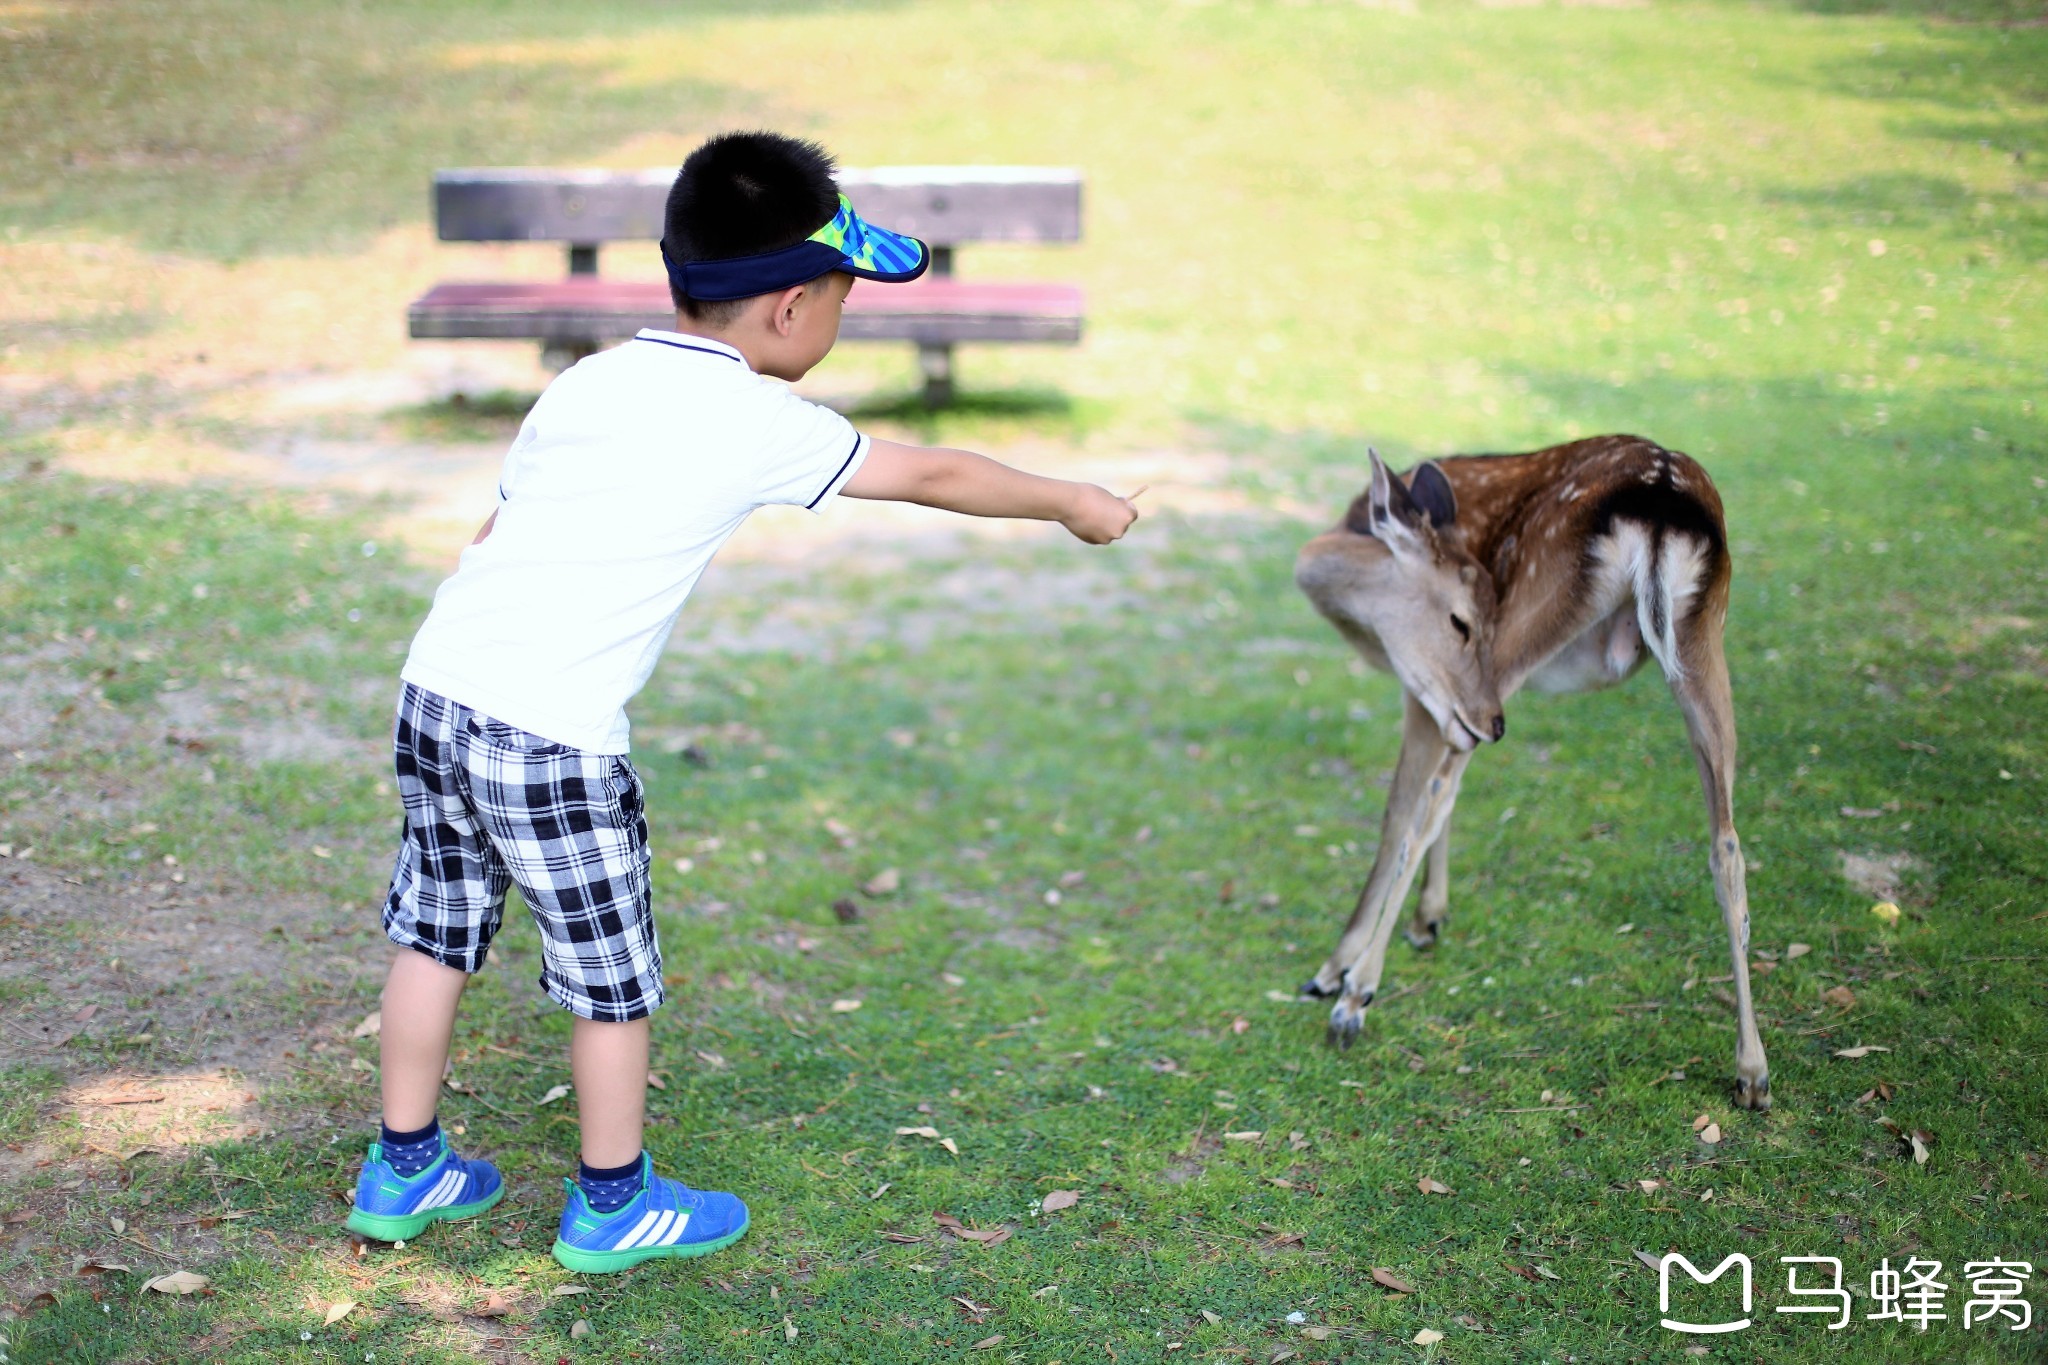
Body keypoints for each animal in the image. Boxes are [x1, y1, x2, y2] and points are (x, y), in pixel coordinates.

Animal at [1286, 437, 1769, 1113]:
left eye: (1470, 620)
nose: (1495, 726)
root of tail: (1663, 496)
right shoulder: (1450, 710)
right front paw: (1428, 919)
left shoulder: (1425, 695)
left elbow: (1403, 809)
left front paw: (1337, 967)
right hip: (1701, 633)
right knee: (1726, 842)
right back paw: (1753, 1072)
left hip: (1535, 616)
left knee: (1431, 799)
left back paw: (1355, 1000)